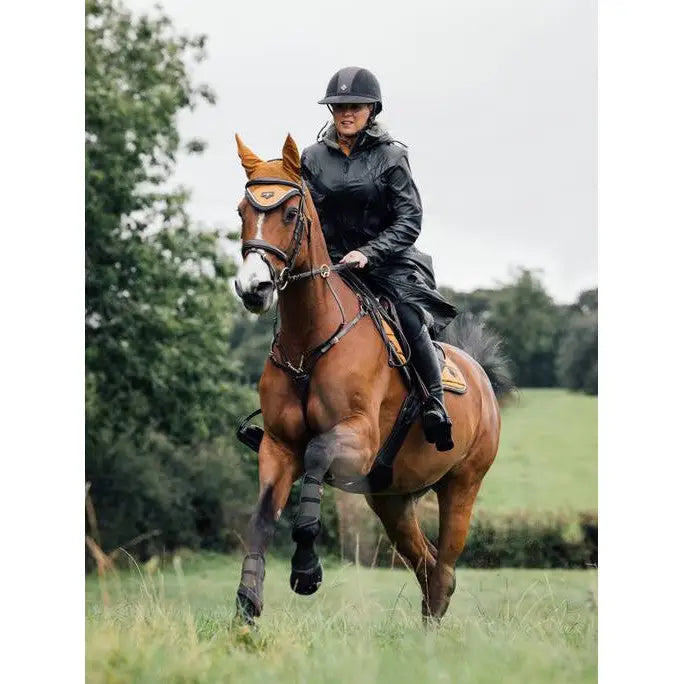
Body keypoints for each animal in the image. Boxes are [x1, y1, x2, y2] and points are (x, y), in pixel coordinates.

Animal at [232, 132, 510, 624]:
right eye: (242, 211)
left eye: (290, 213)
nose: (253, 288)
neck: (310, 342)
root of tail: (480, 376)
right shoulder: (278, 446)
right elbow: (263, 515)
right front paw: (248, 601)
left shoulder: (357, 439)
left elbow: (317, 456)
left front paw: (306, 571)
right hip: (391, 498)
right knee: (428, 565)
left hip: (462, 487)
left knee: (445, 566)